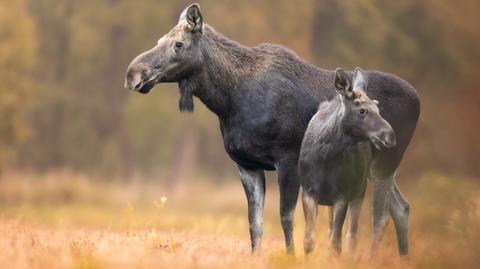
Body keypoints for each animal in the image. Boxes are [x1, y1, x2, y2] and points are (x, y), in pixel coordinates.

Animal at [124, 4, 420, 255]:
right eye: (159, 40)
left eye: (178, 44)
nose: (133, 73)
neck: (228, 102)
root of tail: (417, 99)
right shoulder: (247, 164)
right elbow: (254, 223)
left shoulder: (287, 160)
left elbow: (286, 218)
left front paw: (291, 257)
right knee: (401, 207)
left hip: (385, 162)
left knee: (380, 215)